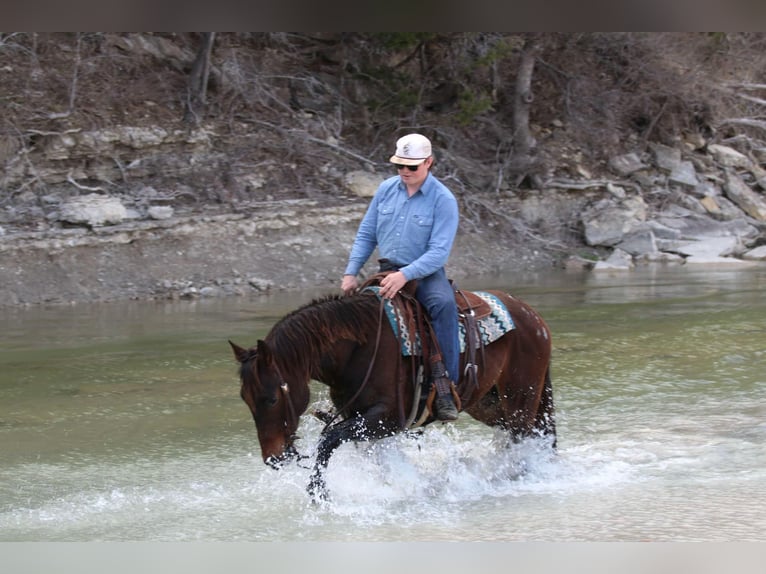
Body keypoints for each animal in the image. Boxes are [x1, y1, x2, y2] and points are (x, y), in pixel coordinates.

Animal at [229, 285, 555, 501]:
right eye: (246, 400)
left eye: (272, 398)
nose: (273, 458)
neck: (357, 350)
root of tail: (533, 317)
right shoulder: (362, 420)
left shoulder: (387, 419)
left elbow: (329, 439)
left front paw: (318, 492)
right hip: (489, 403)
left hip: (520, 400)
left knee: (526, 437)